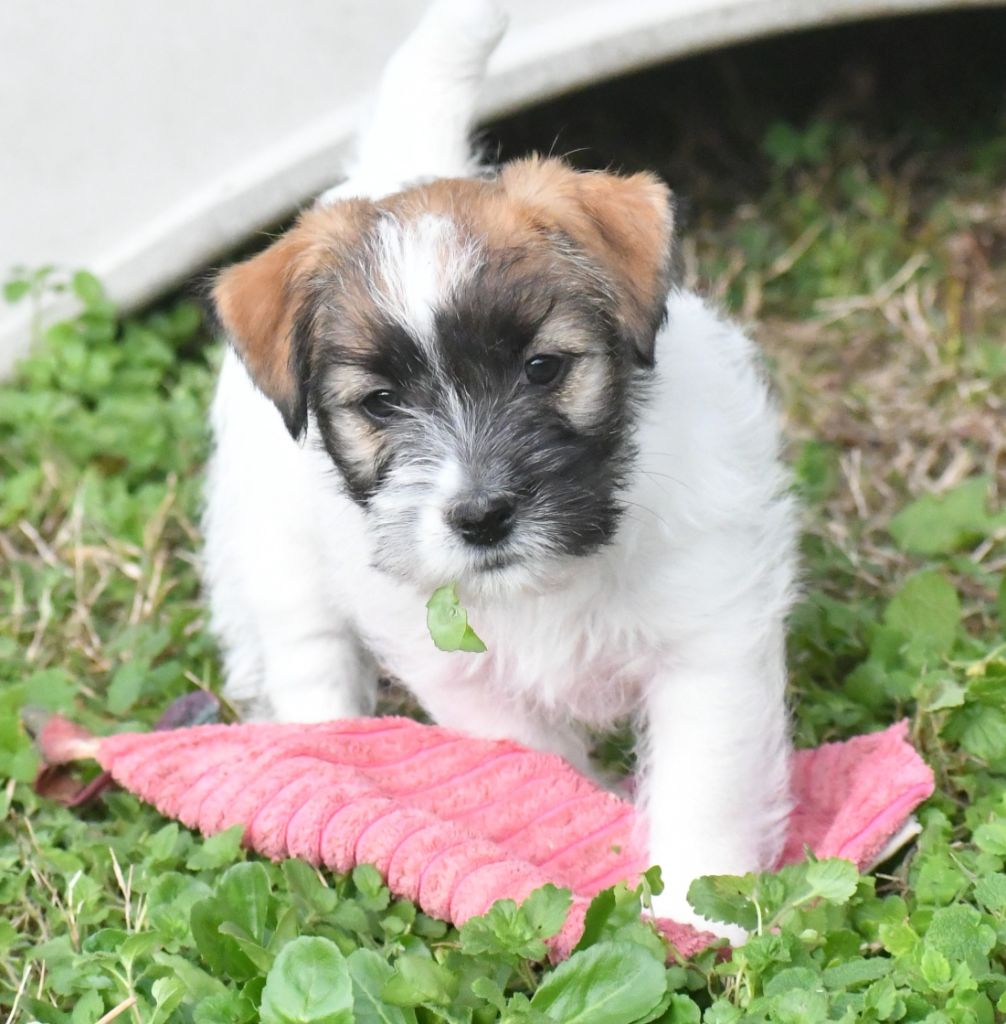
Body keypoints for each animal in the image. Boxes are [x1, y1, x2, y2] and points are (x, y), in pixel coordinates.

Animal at [204, 0, 799, 937]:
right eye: (380, 404)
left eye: (543, 368)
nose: (481, 517)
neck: (554, 579)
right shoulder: (464, 675)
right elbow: (535, 755)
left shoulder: (710, 643)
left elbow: (706, 785)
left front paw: (700, 913)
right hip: (281, 557)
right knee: (306, 651)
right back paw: (326, 741)